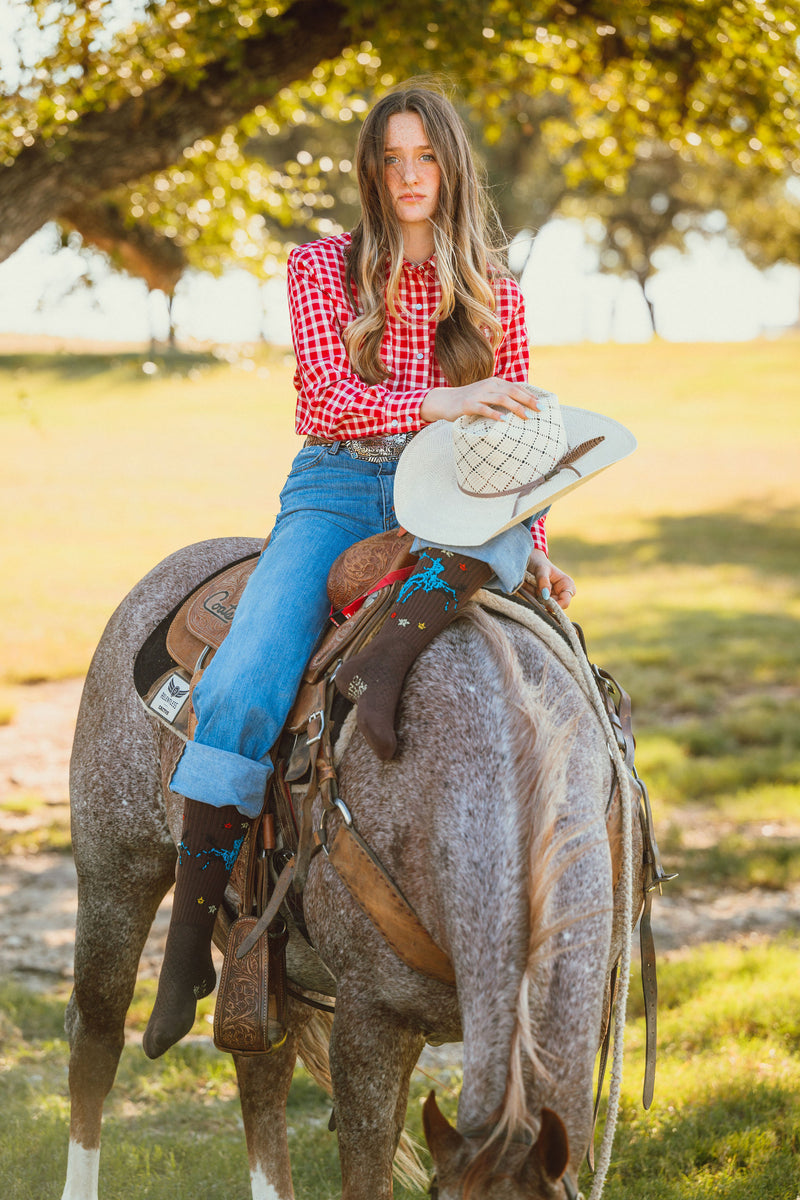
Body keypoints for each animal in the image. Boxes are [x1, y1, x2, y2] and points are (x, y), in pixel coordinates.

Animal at [59, 540, 642, 1200]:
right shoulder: (371, 1023)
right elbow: (367, 1173)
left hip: (257, 949)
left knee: (261, 1069)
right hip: (116, 870)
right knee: (96, 1035)